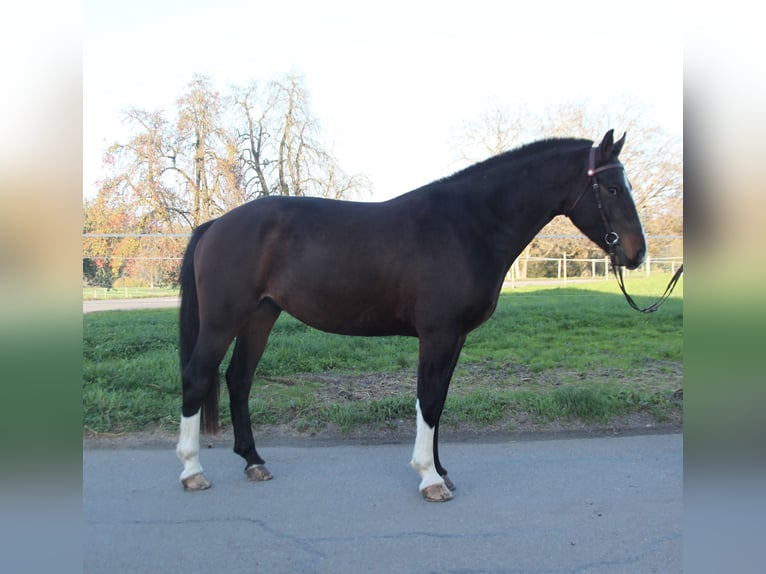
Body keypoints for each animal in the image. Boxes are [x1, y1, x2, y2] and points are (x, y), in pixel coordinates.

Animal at [176, 130, 648, 504]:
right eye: (611, 188)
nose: (637, 252)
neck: (466, 224)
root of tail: (216, 224)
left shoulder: (455, 337)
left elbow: (439, 400)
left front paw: (441, 472)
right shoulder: (438, 334)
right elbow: (429, 400)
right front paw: (429, 479)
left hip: (261, 315)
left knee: (238, 379)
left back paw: (254, 461)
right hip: (222, 321)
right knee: (198, 376)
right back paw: (192, 471)